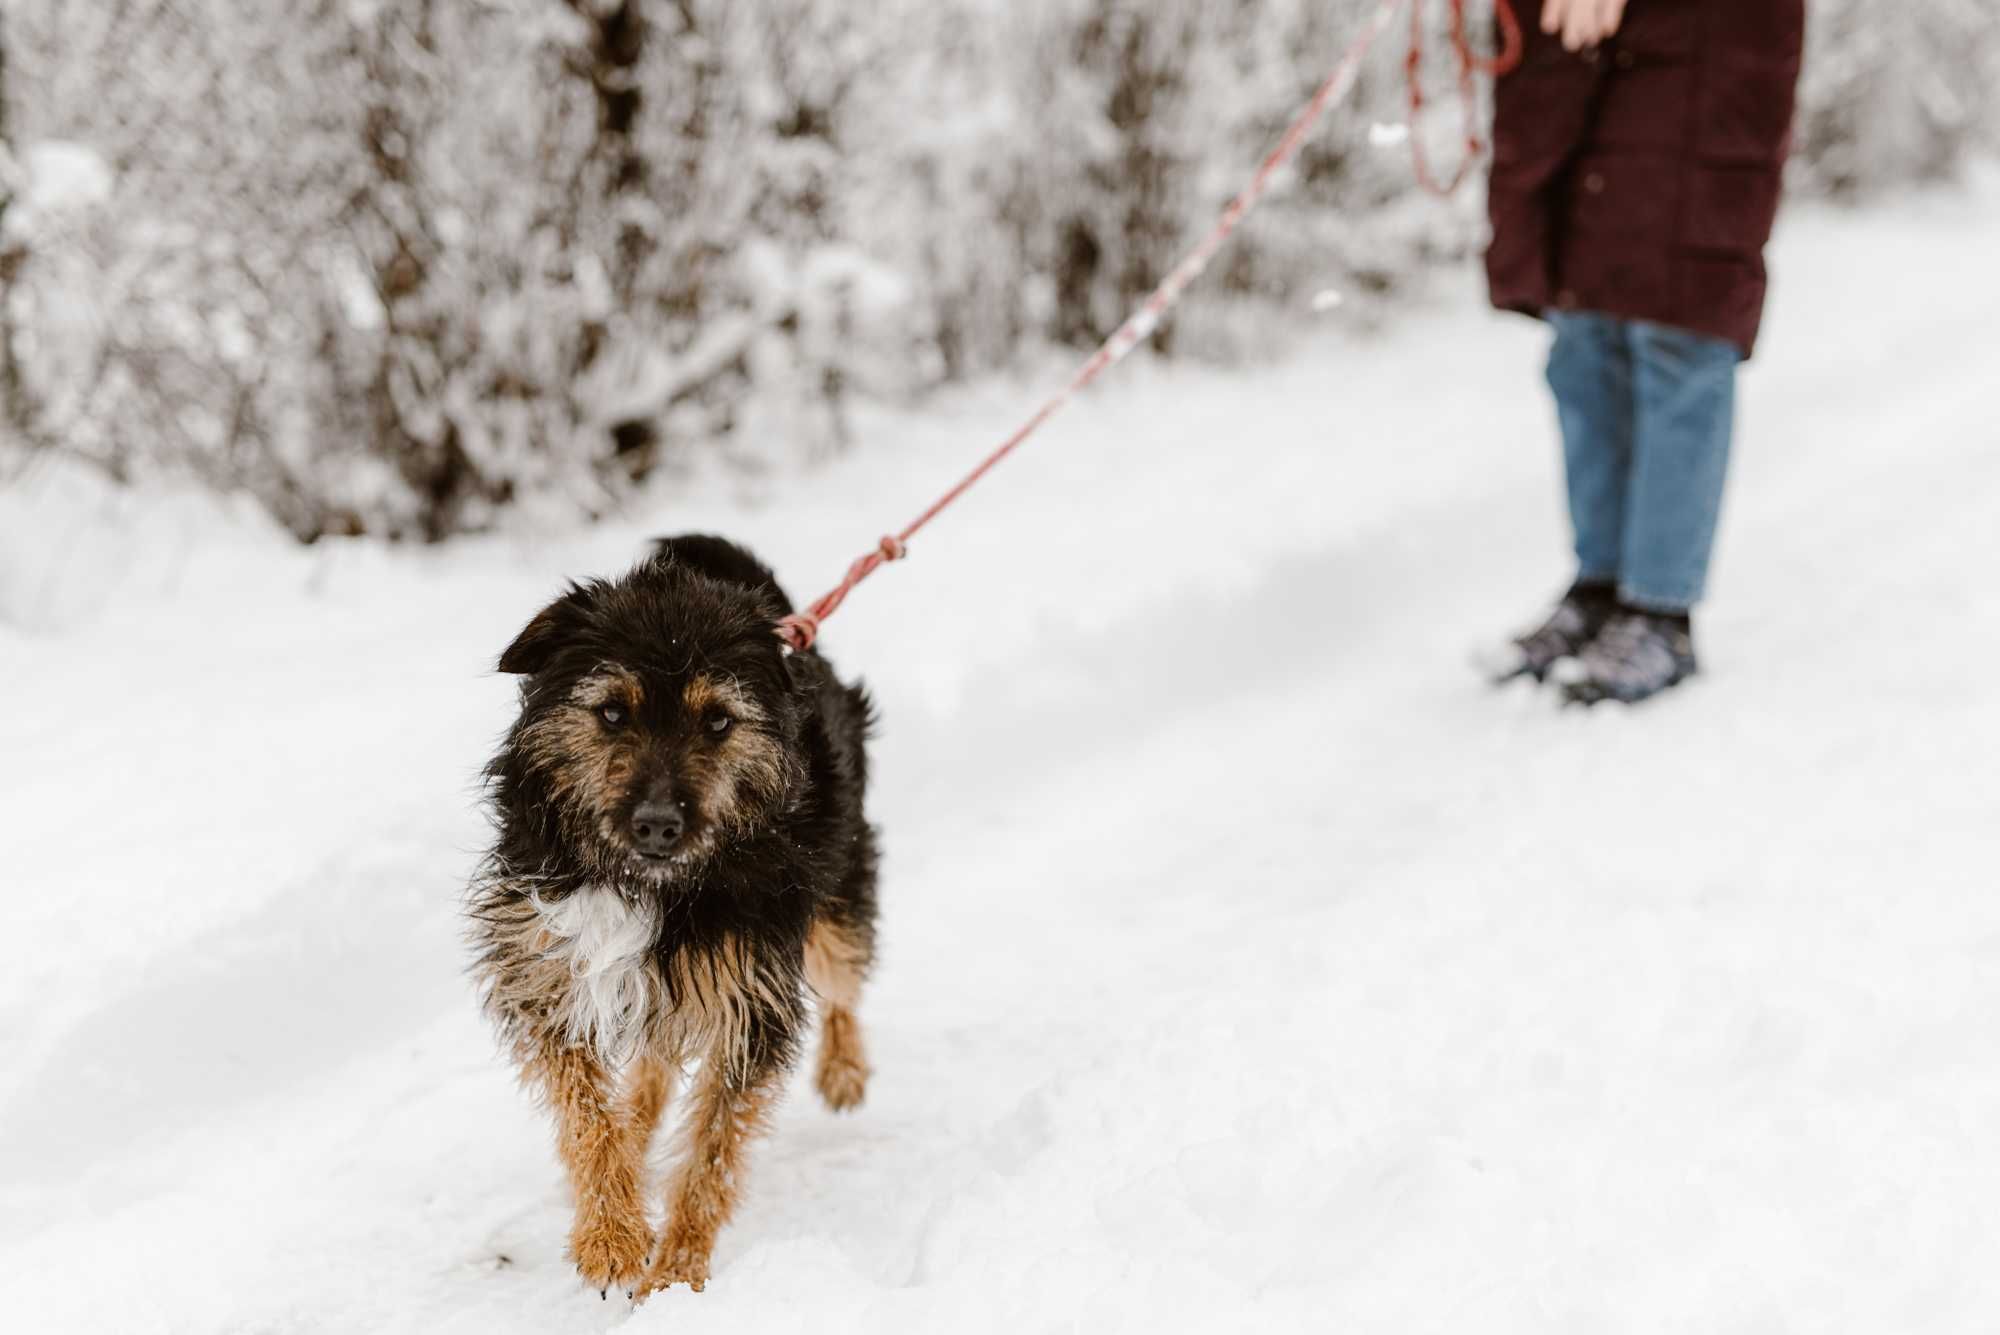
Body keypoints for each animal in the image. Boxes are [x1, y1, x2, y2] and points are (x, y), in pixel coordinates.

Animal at [472, 535, 880, 1295]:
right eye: (612, 711)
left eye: (716, 719)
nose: (658, 824)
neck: (649, 885)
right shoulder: (546, 962)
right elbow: (584, 1108)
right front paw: (612, 1233)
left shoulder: (748, 995)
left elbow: (712, 1151)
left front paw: (677, 1271)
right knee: (653, 1065)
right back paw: (636, 1133)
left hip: (835, 900)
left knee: (842, 984)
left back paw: (844, 1070)